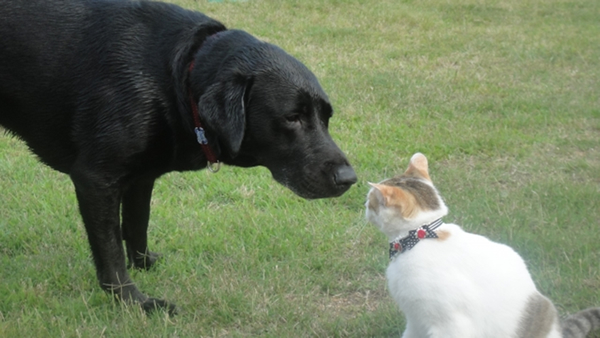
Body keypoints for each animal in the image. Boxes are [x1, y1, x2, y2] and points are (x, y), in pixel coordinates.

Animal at [1, 0, 356, 312]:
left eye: (326, 118)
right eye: (292, 117)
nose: (349, 178)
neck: (178, 77)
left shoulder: (141, 177)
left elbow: (137, 225)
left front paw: (145, 264)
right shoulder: (96, 179)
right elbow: (111, 252)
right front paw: (134, 302)